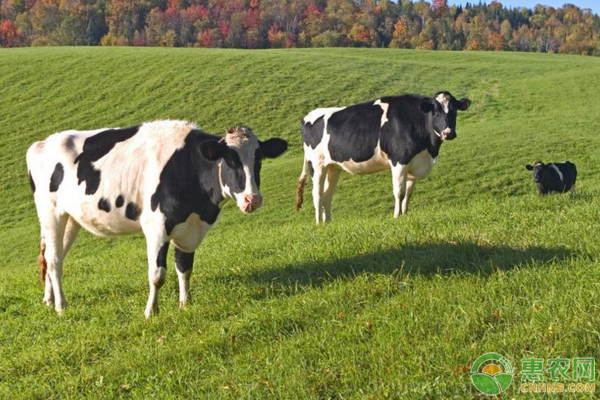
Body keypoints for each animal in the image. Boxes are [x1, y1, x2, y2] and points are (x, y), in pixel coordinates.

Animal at [27, 121, 288, 318]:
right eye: (230, 160)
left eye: (259, 159)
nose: (252, 199)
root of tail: (41, 143)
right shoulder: (157, 226)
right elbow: (157, 274)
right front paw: (151, 312)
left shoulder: (190, 228)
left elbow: (184, 267)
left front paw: (185, 304)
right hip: (50, 212)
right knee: (53, 260)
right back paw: (61, 306)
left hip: (71, 218)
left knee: (53, 255)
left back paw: (48, 299)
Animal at [298, 91, 472, 222]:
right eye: (435, 113)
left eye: (454, 111)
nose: (448, 133)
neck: (429, 150)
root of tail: (309, 116)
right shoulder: (399, 160)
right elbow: (399, 192)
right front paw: (396, 216)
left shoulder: (413, 163)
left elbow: (408, 194)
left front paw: (405, 214)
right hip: (316, 165)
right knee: (317, 195)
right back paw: (319, 224)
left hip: (333, 167)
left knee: (327, 196)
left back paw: (327, 223)